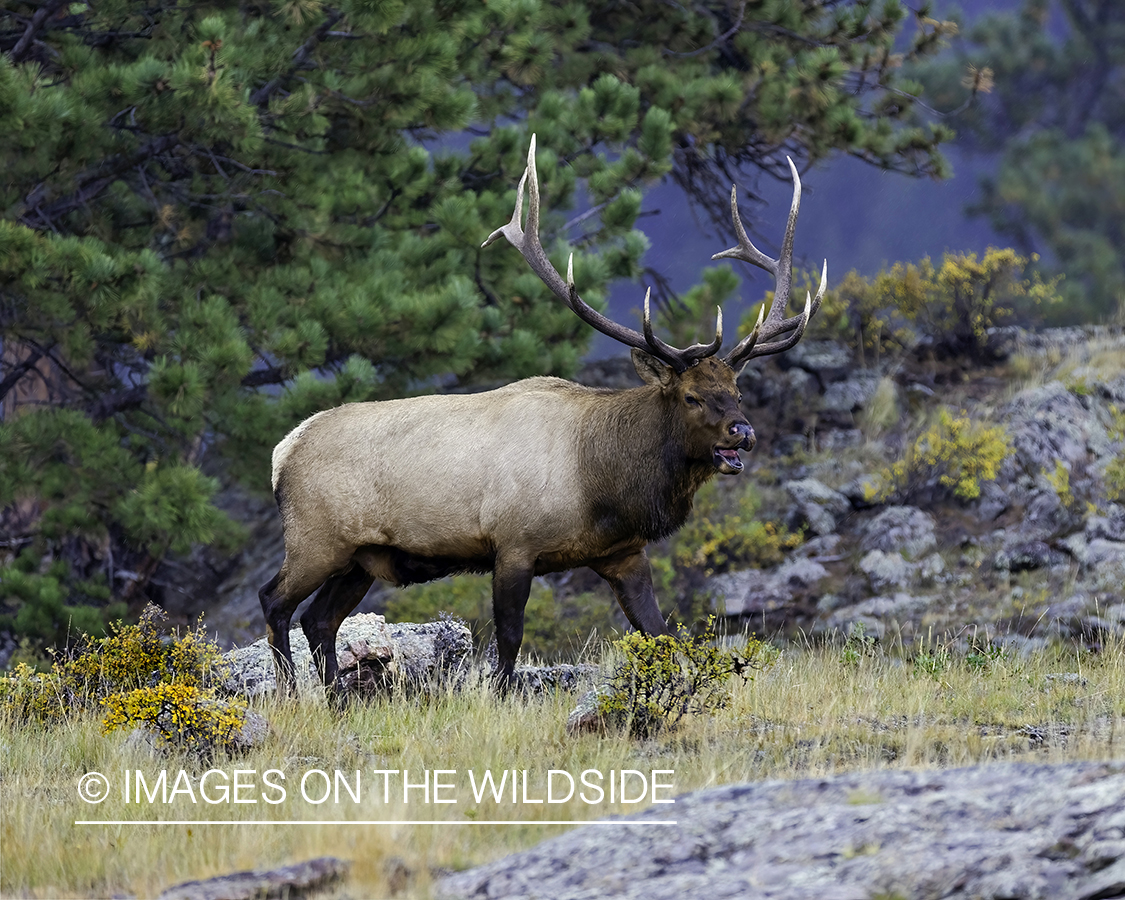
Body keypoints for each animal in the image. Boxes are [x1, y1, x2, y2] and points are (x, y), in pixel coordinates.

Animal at [261, 135, 828, 697]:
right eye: (690, 396)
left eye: (736, 390)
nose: (743, 432)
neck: (602, 485)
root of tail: (283, 451)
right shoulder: (513, 543)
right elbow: (510, 639)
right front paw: (499, 698)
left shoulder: (623, 553)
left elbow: (661, 634)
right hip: (316, 539)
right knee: (276, 601)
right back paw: (290, 689)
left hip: (362, 557)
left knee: (319, 618)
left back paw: (336, 698)